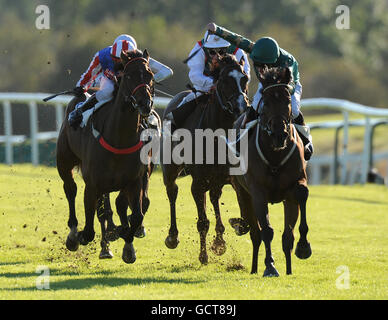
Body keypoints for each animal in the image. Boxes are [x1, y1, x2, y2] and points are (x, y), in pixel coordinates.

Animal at [56, 48, 154, 264]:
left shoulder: (134, 181)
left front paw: (128, 246)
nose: (145, 103)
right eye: (129, 75)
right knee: (71, 189)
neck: (119, 138)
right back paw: (75, 235)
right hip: (64, 162)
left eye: (150, 75)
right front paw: (83, 236)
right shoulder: (92, 184)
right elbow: (90, 227)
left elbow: (136, 215)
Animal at [161, 54, 249, 264]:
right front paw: (203, 255)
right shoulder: (198, 182)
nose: (242, 107)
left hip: (216, 180)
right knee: (172, 192)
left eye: (245, 79)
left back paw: (219, 240)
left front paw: (221, 241)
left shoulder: (233, 178)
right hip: (169, 169)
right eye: (224, 81)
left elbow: (245, 220)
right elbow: (202, 222)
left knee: (214, 197)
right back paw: (172, 237)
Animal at [230, 66, 312, 276]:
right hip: (242, 191)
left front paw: (303, 247)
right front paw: (270, 266)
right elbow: (266, 230)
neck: (275, 155)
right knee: (255, 232)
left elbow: (290, 230)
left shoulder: (294, 186)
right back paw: (254, 267)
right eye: (265, 103)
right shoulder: (258, 191)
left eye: (287, 101)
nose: (279, 135)